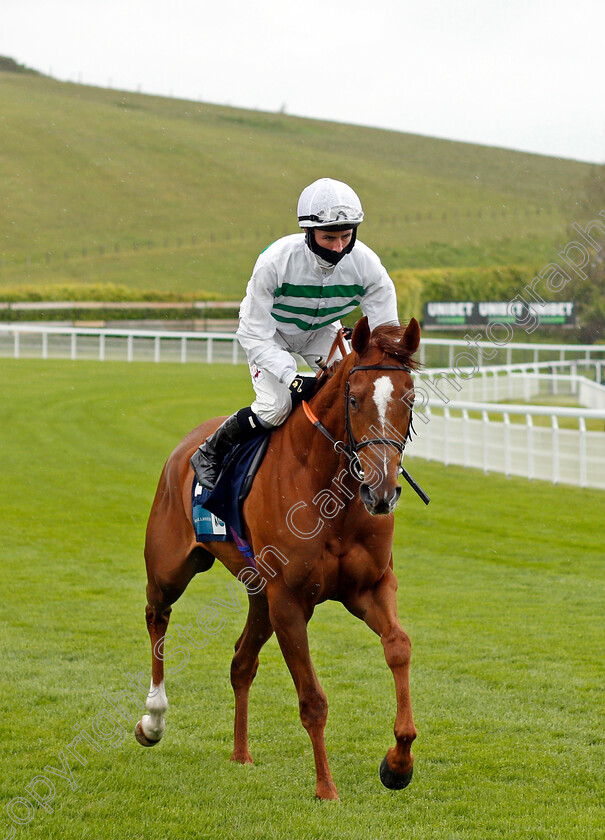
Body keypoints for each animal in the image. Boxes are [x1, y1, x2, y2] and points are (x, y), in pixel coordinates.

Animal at [137, 316, 420, 800]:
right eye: (354, 398)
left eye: (410, 398)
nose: (381, 491)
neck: (331, 497)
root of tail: (187, 445)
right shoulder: (289, 601)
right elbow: (313, 700)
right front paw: (326, 788)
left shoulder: (370, 587)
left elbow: (398, 647)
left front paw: (398, 763)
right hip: (170, 567)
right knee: (158, 617)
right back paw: (153, 719)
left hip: (258, 593)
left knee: (241, 662)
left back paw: (241, 753)